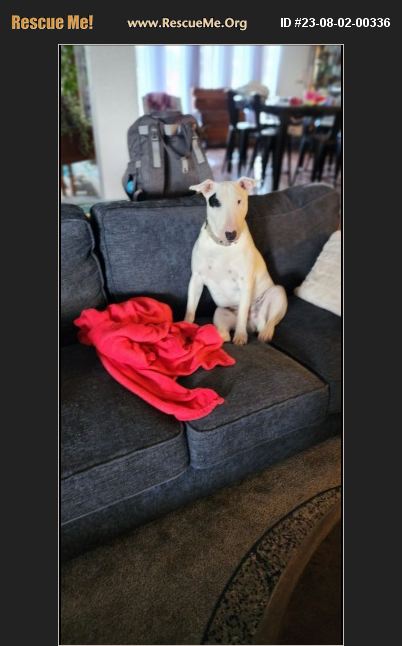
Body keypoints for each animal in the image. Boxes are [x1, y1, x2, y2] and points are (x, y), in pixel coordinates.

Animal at [184, 177, 288, 345]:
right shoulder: (196, 279)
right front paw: (184, 325)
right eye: (216, 202)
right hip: (220, 311)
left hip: (277, 294)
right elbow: (191, 308)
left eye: (239, 201)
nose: (230, 234)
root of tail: (252, 325)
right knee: (224, 332)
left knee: (270, 321)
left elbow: (243, 312)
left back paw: (264, 334)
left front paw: (240, 336)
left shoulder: (245, 282)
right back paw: (216, 335)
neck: (222, 247)